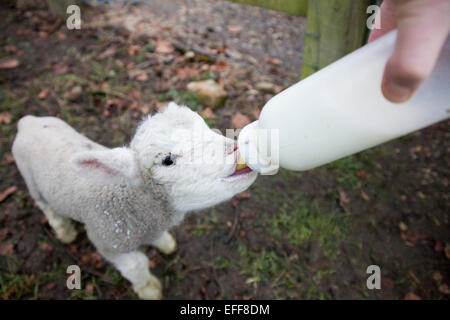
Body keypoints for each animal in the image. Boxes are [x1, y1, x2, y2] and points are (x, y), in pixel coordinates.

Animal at [11, 102, 256, 300]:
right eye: (167, 160)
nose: (237, 150)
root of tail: (27, 122)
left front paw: (164, 243)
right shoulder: (106, 240)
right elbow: (137, 265)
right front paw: (149, 289)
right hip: (31, 180)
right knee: (46, 207)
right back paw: (64, 231)